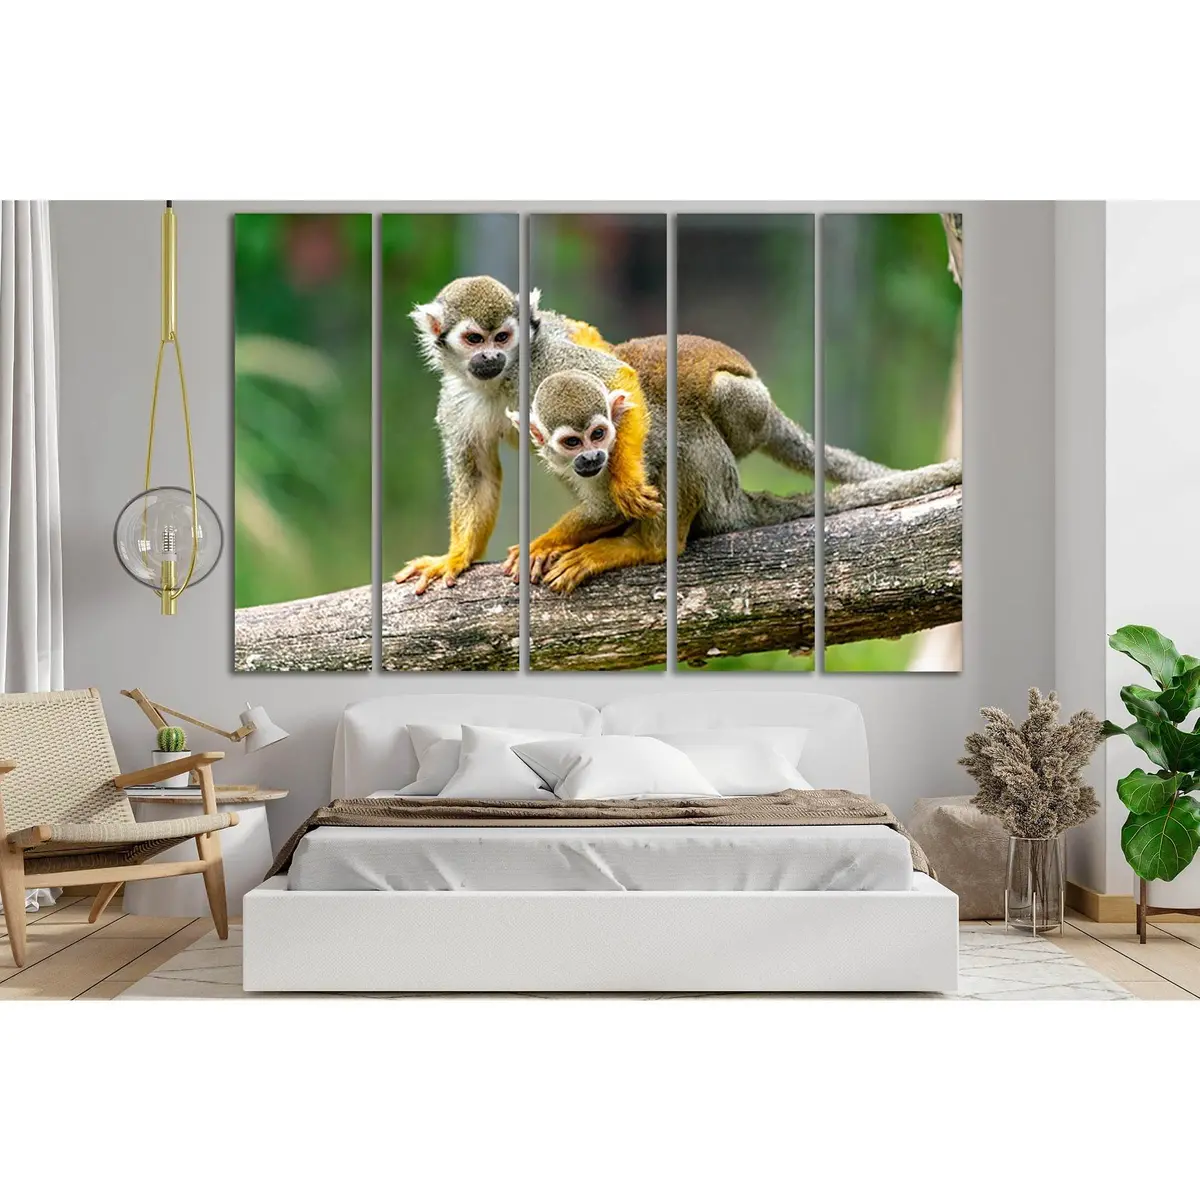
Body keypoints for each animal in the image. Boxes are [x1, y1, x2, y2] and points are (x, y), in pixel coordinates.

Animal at [511, 337, 962, 594]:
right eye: (572, 442)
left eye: (599, 435)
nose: (592, 457)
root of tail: (739, 500)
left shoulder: (632, 441)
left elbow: (617, 498)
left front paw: (545, 543)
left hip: (723, 482)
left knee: (686, 442)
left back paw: (648, 545)